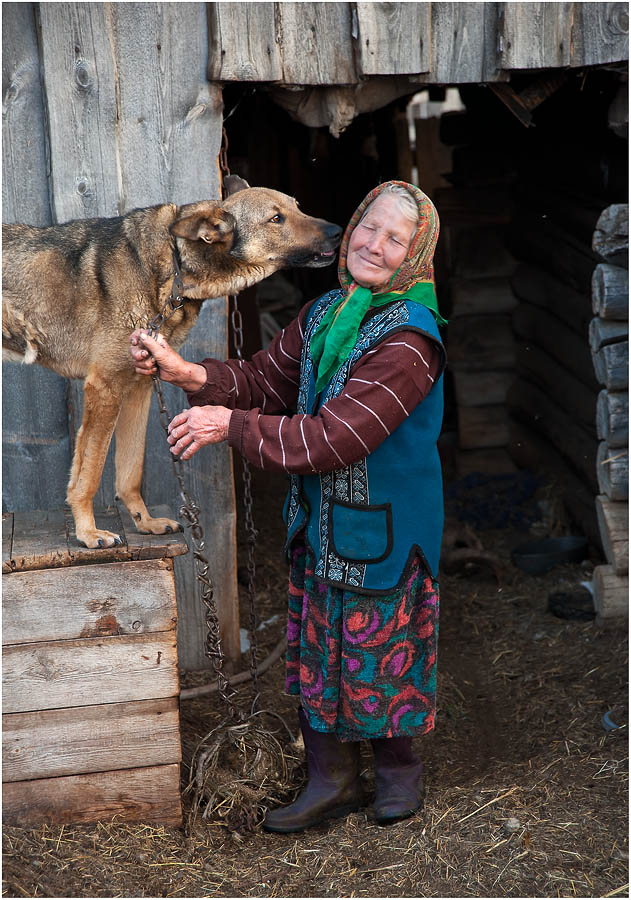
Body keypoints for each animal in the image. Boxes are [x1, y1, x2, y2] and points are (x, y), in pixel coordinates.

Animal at [2, 178, 344, 548]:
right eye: (276, 218)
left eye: (297, 207)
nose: (339, 230)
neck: (177, 267)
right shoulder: (105, 387)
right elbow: (88, 475)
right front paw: (88, 532)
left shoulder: (138, 385)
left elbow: (129, 472)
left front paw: (144, 522)